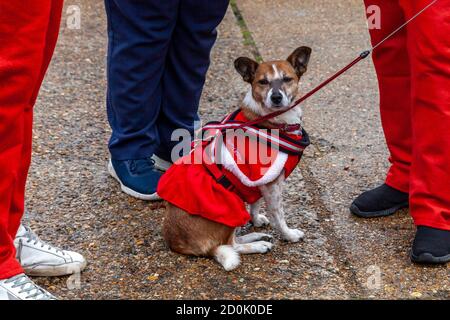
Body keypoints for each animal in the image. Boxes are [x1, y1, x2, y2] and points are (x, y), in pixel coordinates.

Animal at [159, 46, 312, 270]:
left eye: (287, 79)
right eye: (263, 82)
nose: (276, 97)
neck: (267, 119)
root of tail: (176, 243)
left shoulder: (258, 181)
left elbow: (255, 204)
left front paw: (256, 220)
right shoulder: (272, 183)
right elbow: (279, 216)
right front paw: (289, 235)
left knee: (233, 241)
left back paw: (256, 235)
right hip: (230, 208)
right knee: (229, 245)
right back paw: (258, 245)